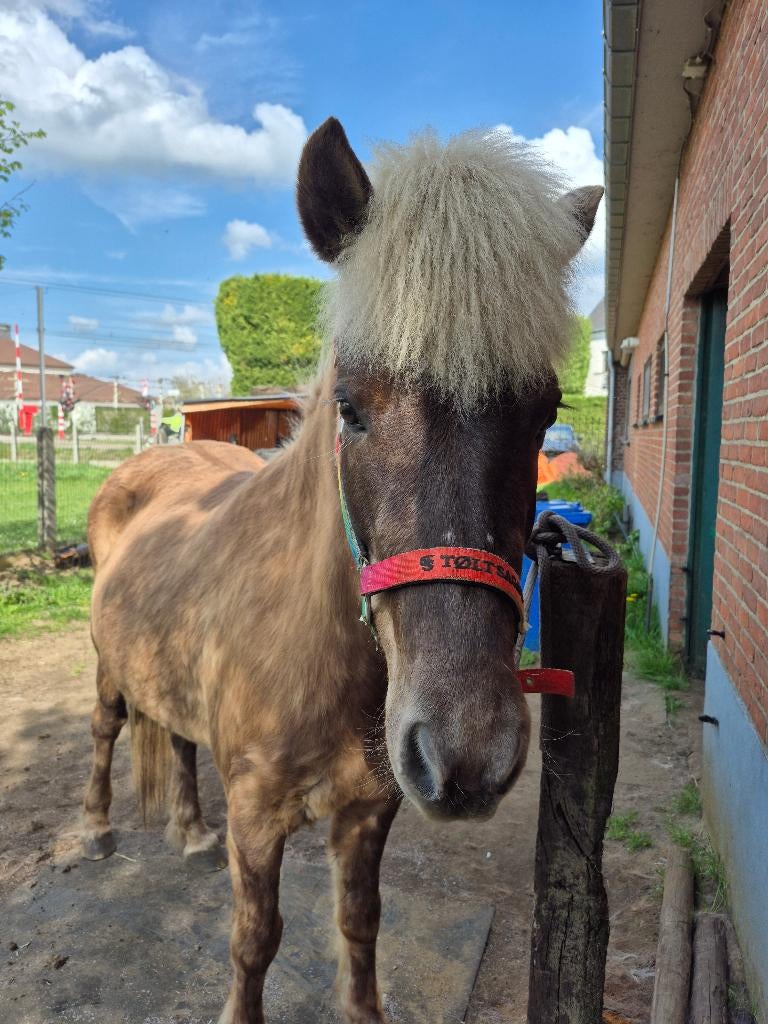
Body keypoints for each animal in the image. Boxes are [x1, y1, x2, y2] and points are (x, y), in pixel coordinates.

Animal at [81, 117, 602, 1024]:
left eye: (545, 414)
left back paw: (188, 830)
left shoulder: (369, 810)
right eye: (351, 407)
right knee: (107, 729)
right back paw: (98, 828)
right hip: (110, 669)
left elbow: (360, 924)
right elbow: (254, 941)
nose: (470, 751)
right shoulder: (257, 815)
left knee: (176, 734)